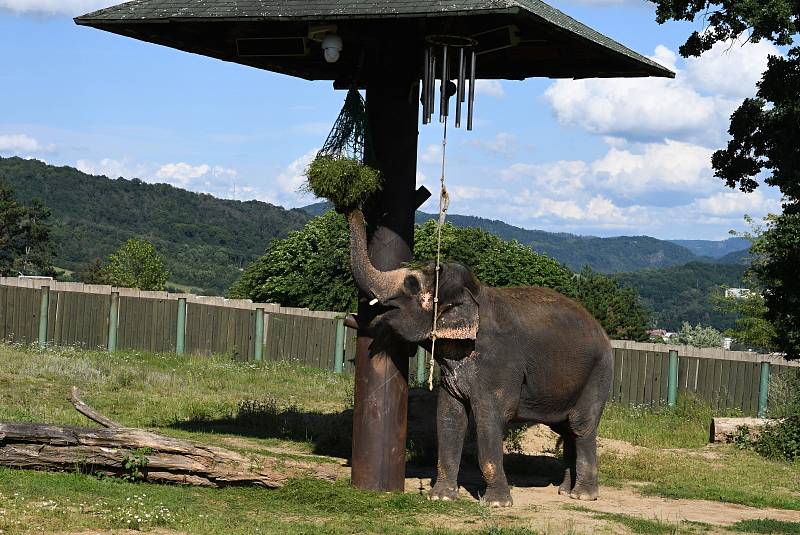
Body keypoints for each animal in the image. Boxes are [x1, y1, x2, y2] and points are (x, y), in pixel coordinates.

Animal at [344, 209, 612, 506]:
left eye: (411, 283)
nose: (351, 207)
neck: (476, 292)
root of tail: (602, 332)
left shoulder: (498, 362)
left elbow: (489, 418)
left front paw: (496, 503)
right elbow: (449, 416)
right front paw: (441, 498)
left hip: (599, 374)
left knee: (581, 427)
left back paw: (583, 496)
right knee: (564, 430)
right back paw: (564, 490)